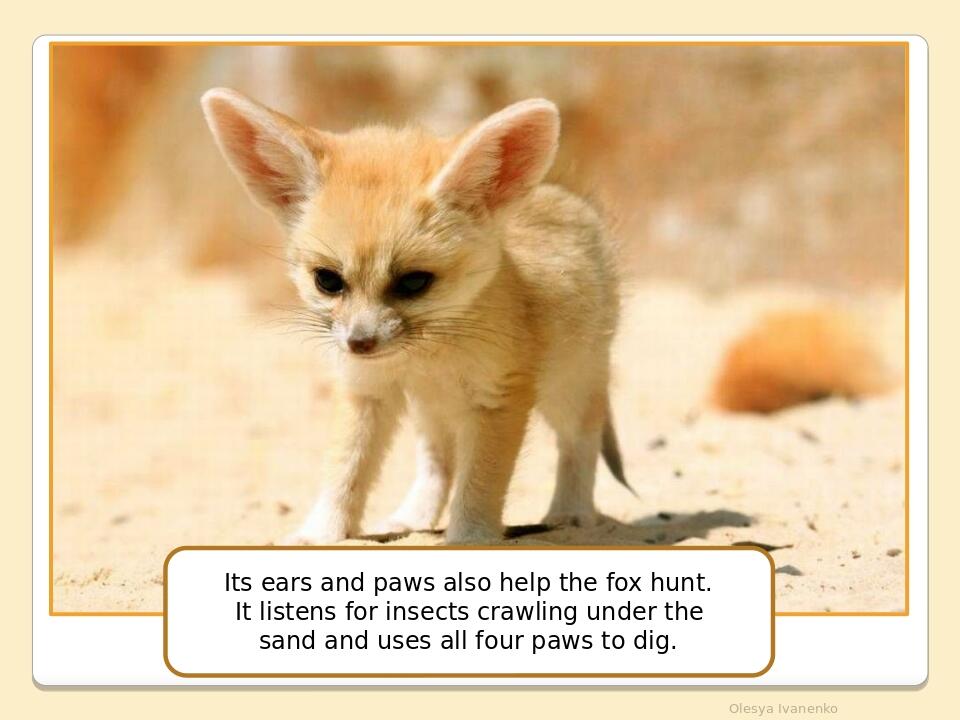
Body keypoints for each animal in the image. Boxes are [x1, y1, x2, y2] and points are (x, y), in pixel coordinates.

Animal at [201, 88, 630, 544]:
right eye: (328, 280)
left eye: (414, 282)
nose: (360, 343)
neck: (424, 358)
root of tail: (563, 196)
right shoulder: (365, 390)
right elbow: (344, 470)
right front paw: (320, 534)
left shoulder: (497, 399)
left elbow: (479, 483)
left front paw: (470, 540)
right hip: (433, 411)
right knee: (437, 461)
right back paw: (412, 520)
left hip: (566, 389)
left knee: (579, 439)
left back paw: (571, 512)